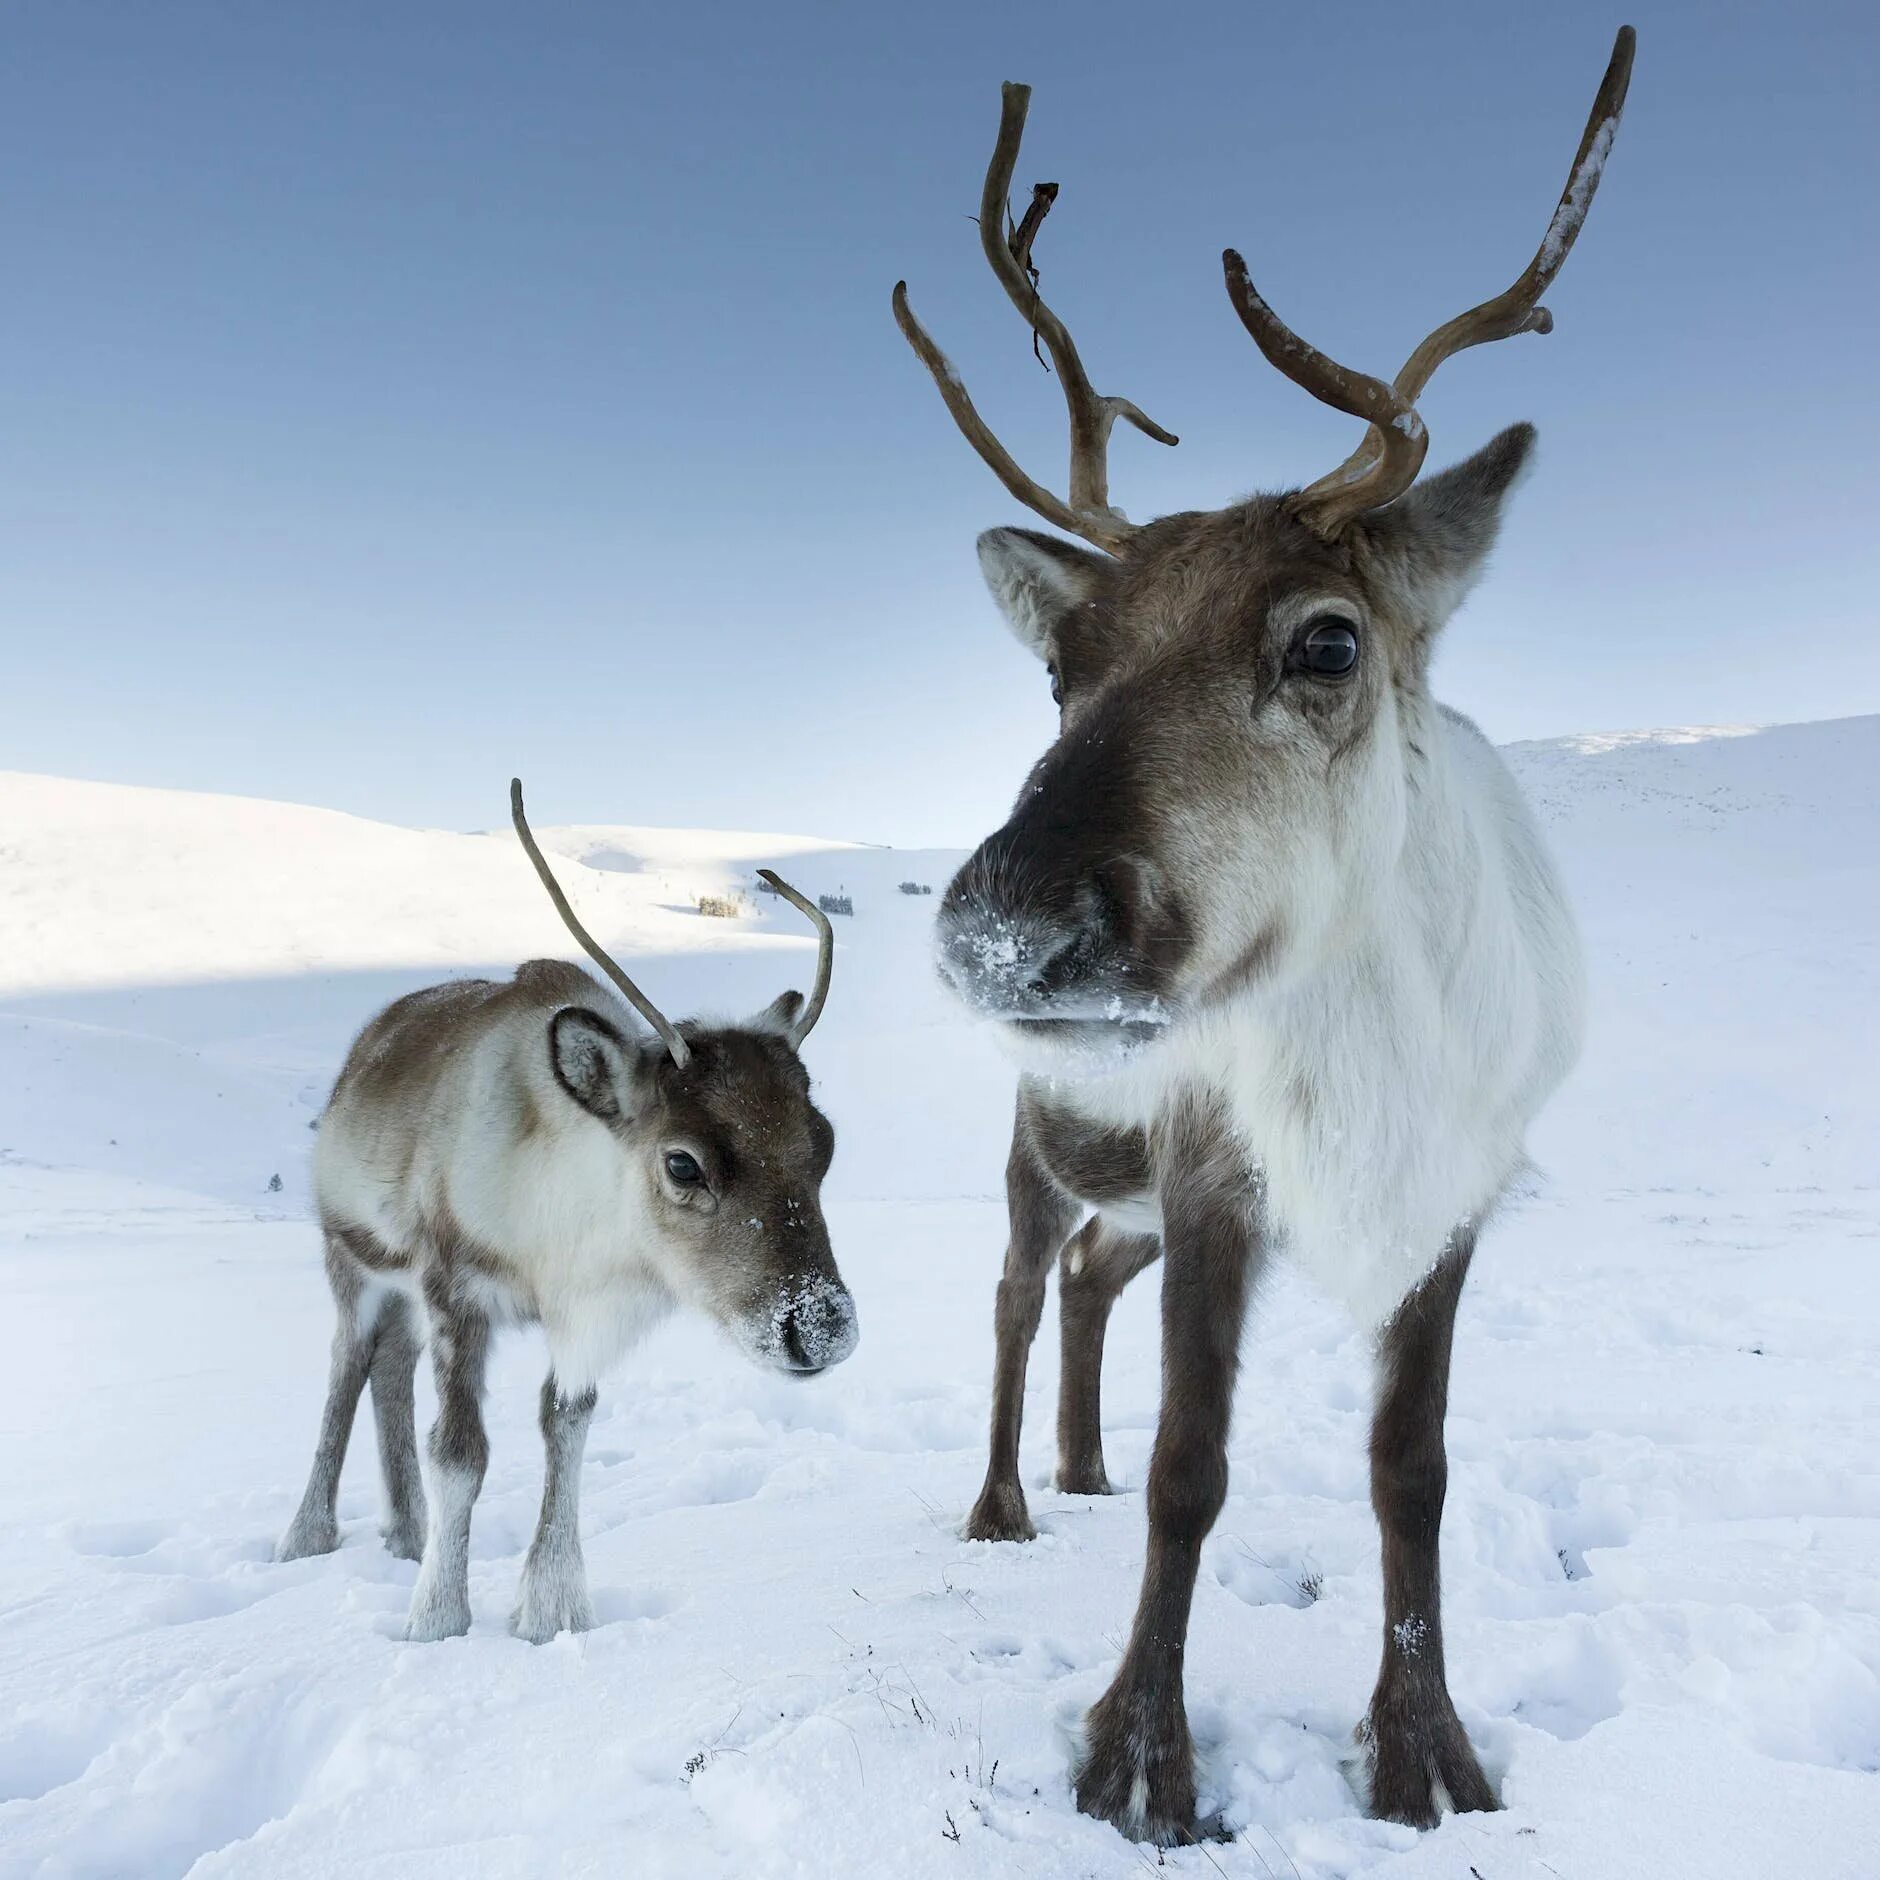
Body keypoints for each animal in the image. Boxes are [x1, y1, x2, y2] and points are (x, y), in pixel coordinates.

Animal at [280, 785, 861, 1639]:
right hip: (350, 1260)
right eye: (682, 1162)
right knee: (347, 1367)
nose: (821, 1327)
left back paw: (407, 1534)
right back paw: (308, 1536)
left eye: (824, 1144)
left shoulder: (582, 1312)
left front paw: (551, 1609)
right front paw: (438, 1619)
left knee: (390, 1368)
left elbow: (567, 1424)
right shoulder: (454, 1288)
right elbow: (460, 1452)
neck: (554, 1234)